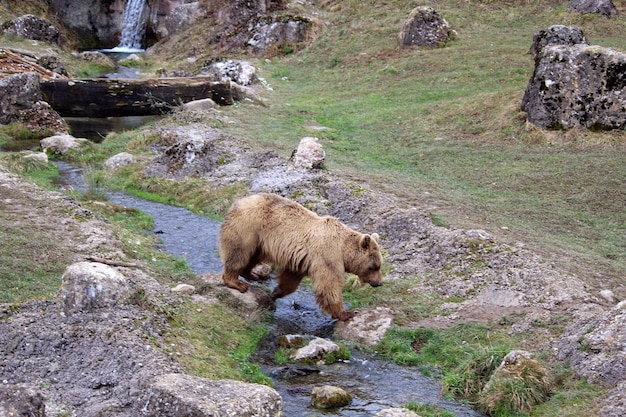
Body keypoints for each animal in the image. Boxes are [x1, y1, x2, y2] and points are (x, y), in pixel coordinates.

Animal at [219, 193, 386, 320]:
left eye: (379, 266)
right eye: (375, 266)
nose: (379, 283)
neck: (343, 250)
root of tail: (241, 201)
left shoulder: (301, 260)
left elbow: (290, 280)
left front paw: (275, 293)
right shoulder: (328, 257)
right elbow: (328, 285)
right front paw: (347, 313)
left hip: (259, 241)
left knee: (252, 256)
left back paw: (251, 274)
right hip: (248, 227)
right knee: (238, 253)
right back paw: (236, 282)